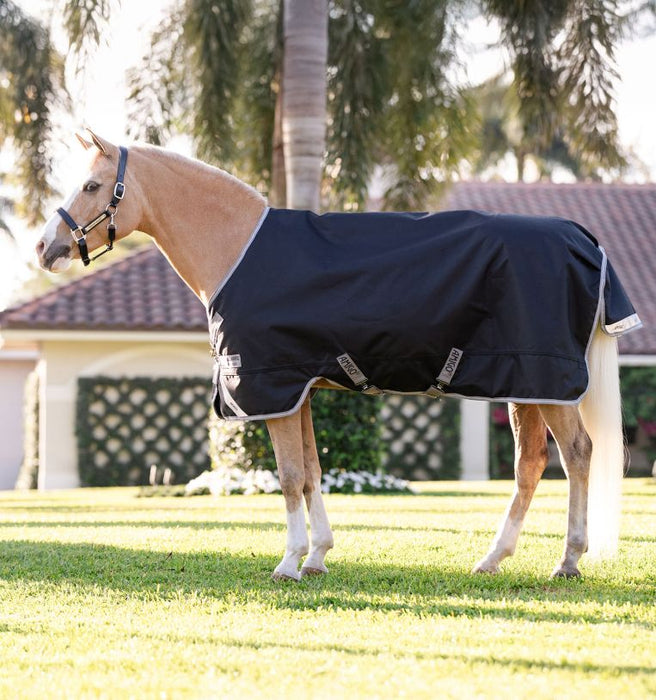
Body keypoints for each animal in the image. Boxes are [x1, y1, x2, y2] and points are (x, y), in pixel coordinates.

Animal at [36, 130, 637, 580]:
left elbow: (287, 476)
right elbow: (312, 471)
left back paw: (568, 561)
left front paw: (288, 563)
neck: (237, 248)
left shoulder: (272, 388)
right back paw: (492, 559)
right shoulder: (297, 389)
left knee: (577, 454)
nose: (45, 248)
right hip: (525, 382)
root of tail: (583, 239)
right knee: (529, 464)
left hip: (549, 383)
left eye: (91, 184)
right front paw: (318, 556)